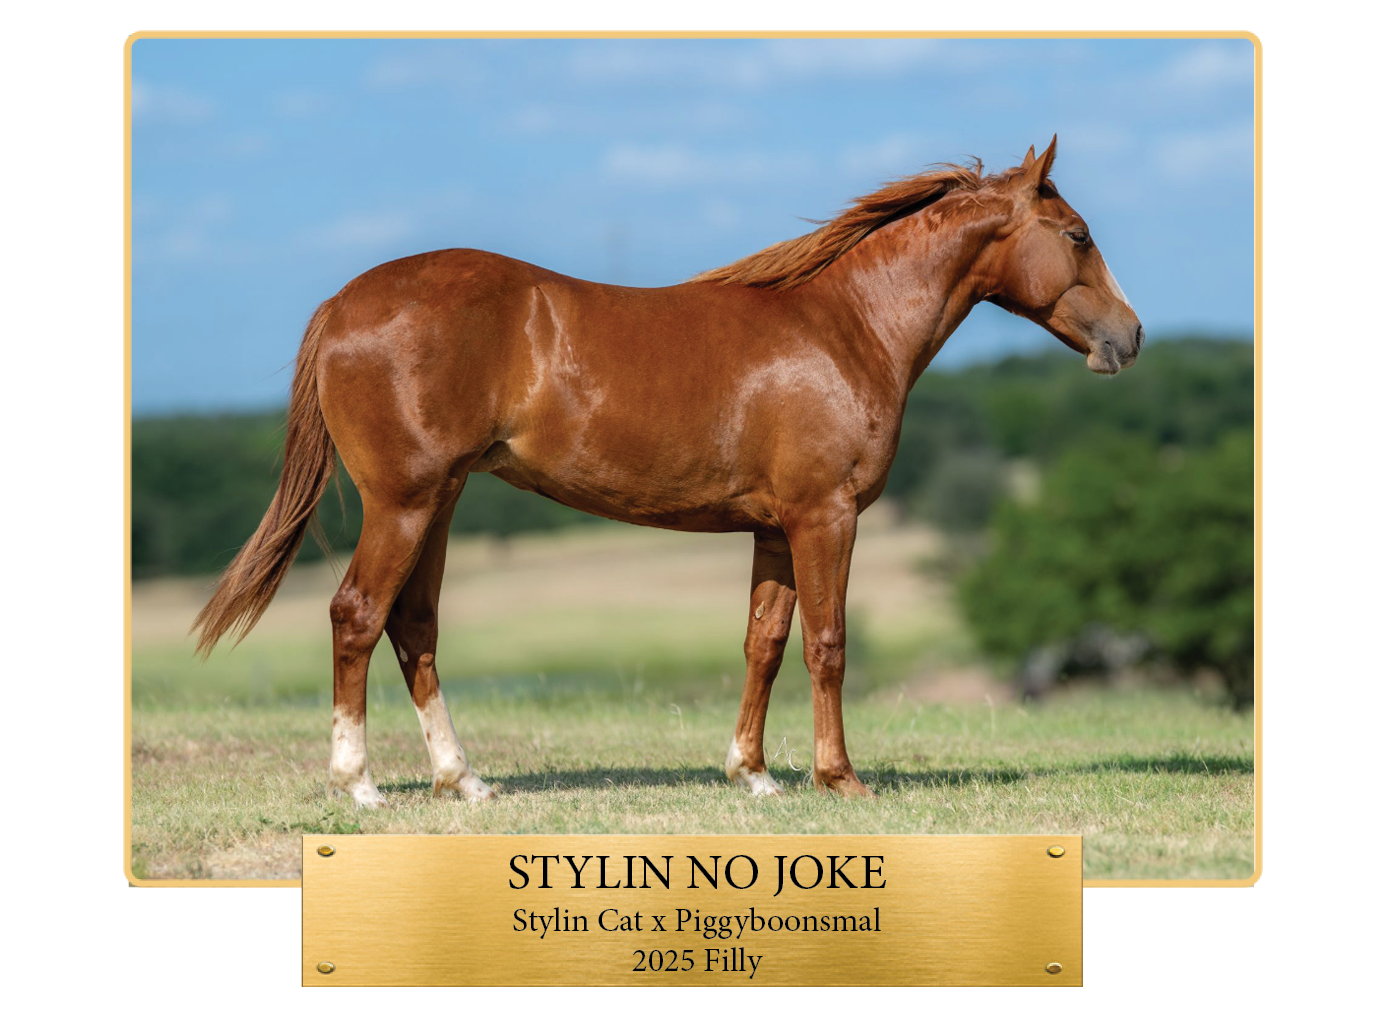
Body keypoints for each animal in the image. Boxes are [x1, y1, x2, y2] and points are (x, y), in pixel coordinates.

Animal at [192, 137, 1141, 806]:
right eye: (1077, 235)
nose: (1129, 338)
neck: (843, 327)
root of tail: (344, 301)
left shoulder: (775, 528)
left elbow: (764, 643)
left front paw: (752, 774)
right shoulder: (825, 517)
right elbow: (827, 645)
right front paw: (839, 778)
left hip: (440, 503)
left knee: (412, 626)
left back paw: (462, 780)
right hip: (405, 502)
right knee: (357, 616)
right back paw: (358, 784)